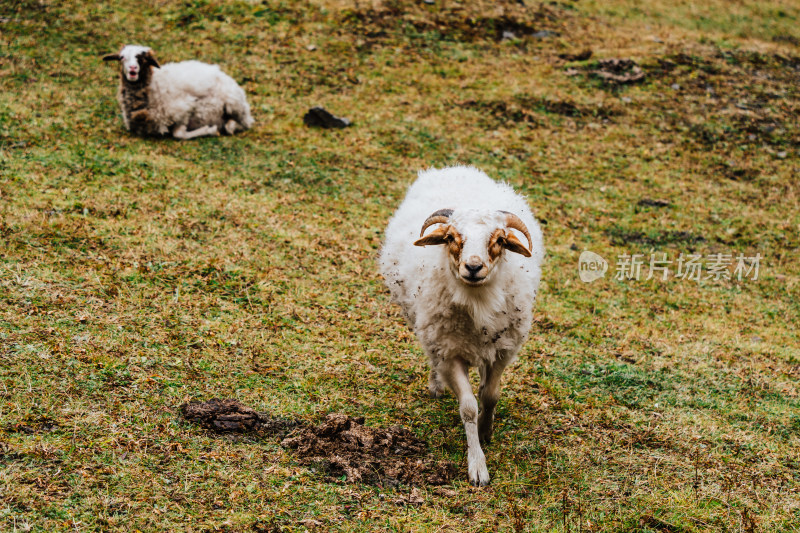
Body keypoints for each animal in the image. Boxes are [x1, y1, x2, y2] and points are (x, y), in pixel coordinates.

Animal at [102, 44, 253, 139]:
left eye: (143, 58)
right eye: (122, 57)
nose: (133, 68)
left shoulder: (186, 108)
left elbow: (179, 134)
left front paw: (209, 130)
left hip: (234, 105)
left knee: (241, 124)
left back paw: (229, 125)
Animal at [380, 165, 544, 486]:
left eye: (500, 240)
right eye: (451, 237)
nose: (473, 267)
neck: (478, 301)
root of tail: (455, 169)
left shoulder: (503, 350)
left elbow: (490, 396)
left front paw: (485, 430)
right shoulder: (449, 353)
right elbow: (468, 407)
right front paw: (477, 465)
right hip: (429, 330)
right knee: (432, 357)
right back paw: (436, 386)